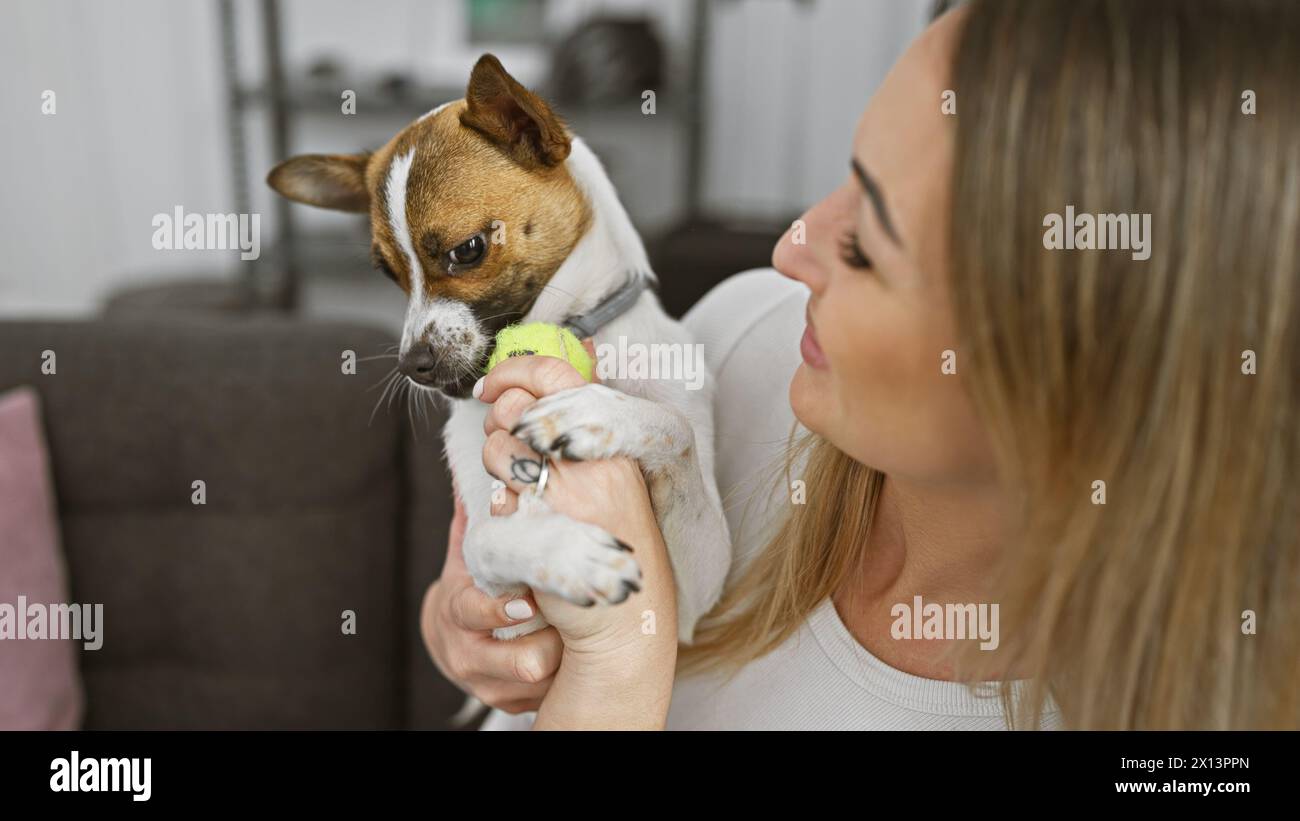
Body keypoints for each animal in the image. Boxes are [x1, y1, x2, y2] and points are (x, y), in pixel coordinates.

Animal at [263, 56, 733, 646]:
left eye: (468, 250)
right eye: (388, 274)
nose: (411, 366)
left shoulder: (692, 605)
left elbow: (676, 428)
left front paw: (594, 414)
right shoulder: (500, 594)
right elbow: (484, 541)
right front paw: (571, 553)